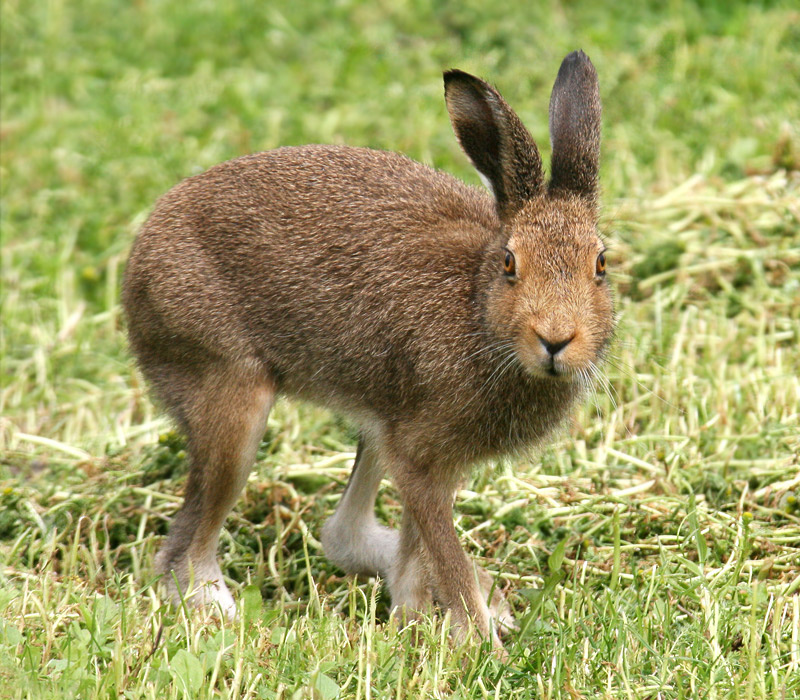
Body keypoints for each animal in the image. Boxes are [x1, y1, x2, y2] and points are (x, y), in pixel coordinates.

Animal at [122, 50, 612, 650]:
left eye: (601, 264)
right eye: (509, 264)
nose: (556, 339)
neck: (475, 311)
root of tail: (139, 265)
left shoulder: (420, 453)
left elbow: (420, 556)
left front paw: (431, 619)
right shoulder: (420, 460)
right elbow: (442, 554)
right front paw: (480, 647)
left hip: (374, 418)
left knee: (341, 533)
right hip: (232, 402)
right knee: (183, 551)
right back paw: (222, 612)